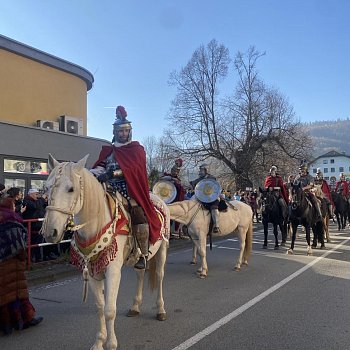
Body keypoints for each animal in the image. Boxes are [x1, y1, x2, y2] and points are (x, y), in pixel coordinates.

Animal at [41, 156, 170, 350]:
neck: (97, 221)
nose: (50, 232)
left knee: (160, 276)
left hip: (162, 249)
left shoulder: (113, 271)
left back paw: (161, 310)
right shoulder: (93, 271)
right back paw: (135, 306)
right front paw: (99, 341)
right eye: (47, 187)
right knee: (140, 273)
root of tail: (158, 199)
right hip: (138, 258)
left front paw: (111, 343)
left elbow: (110, 310)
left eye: (71, 189)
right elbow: (100, 307)